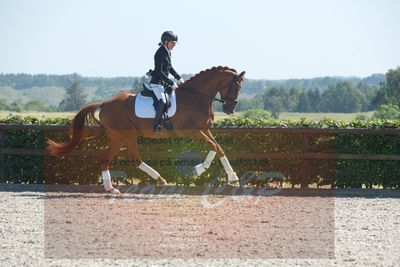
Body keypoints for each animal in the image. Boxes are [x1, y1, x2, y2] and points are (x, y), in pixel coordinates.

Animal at [47, 66, 247, 194]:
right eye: (235, 86)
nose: (230, 110)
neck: (196, 97)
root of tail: (105, 104)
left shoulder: (204, 129)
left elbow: (218, 148)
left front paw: (228, 177)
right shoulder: (192, 132)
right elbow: (214, 147)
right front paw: (203, 171)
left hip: (117, 138)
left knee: (107, 160)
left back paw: (112, 188)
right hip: (126, 135)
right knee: (134, 158)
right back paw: (157, 180)